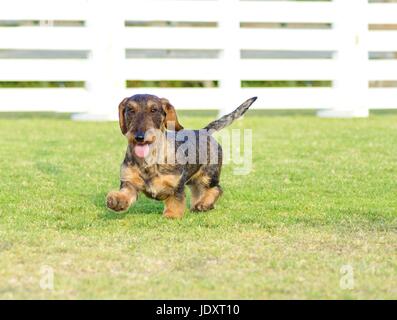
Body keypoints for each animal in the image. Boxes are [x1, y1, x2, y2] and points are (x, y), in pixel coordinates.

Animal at [106, 93, 256, 218]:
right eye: (130, 110)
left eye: (154, 110)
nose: (139, 137)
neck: (150, 160)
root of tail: (204, 131)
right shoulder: (129, 182)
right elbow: (125, 193)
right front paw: (116, 201)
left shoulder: (177, 185)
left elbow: (175, 200)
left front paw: (171, 215)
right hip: (195, 181)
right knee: (199, 192)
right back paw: (198, 205)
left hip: (209, 175)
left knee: (216, 189)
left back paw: (204, 204)